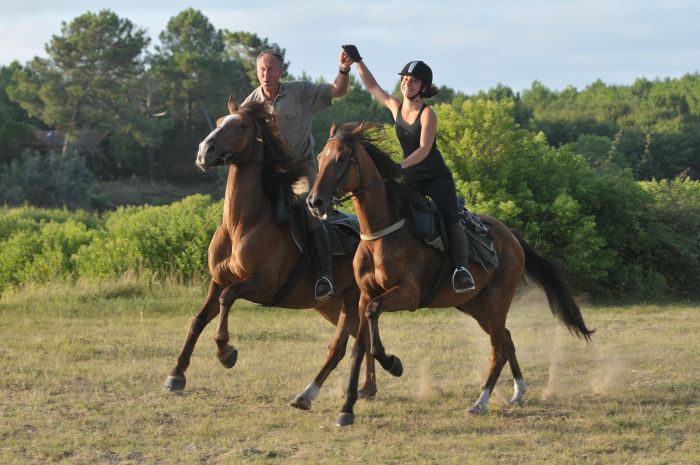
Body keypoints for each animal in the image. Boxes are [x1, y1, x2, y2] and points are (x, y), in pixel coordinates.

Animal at [163, 99, 378, 410]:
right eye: (219, 121)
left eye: (242, 125)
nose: (205, 151)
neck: (243, 223)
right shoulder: (217, 281)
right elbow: (198, 320)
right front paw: (176, 375)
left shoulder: (264, 284)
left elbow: (228, 298)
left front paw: (226, 352)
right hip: (331, 306)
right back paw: (367, 388)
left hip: (350, 301)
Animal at [306, 122, 592, 424]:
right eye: (321, 158)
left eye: (341, 159)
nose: (314, 202)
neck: (380, 235)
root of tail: (512, 237)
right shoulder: (363, 296)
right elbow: (359, 348)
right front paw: (347, 408)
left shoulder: (407, 295)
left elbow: (374, 324)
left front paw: (393, 363)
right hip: (474, 304)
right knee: (506, 339)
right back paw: (519, 391)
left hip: (497, 302)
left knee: (498, 349)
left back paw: (481, 401)